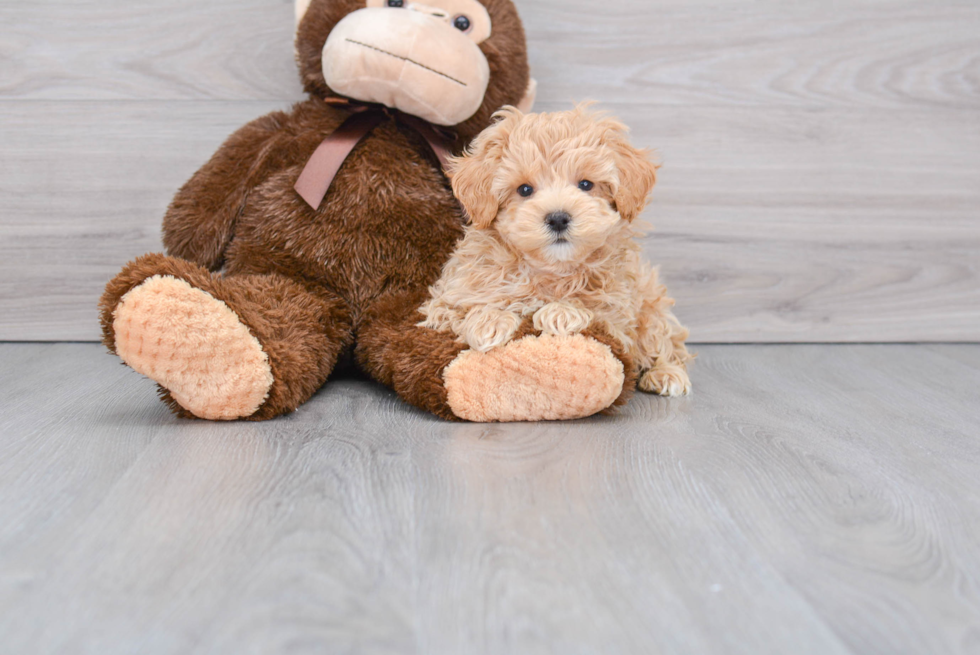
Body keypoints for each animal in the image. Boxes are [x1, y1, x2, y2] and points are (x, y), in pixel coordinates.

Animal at [418, 105, 692, 398]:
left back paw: (666, 373)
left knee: (664, 342)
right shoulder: (442, 304)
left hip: (650, 305)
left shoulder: (620, 316)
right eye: (524, 189)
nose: (558, 218)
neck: (549, 268)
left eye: (586, 184)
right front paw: (489, 320)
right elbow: (462, 309)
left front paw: (562, 311)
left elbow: (598, 310)